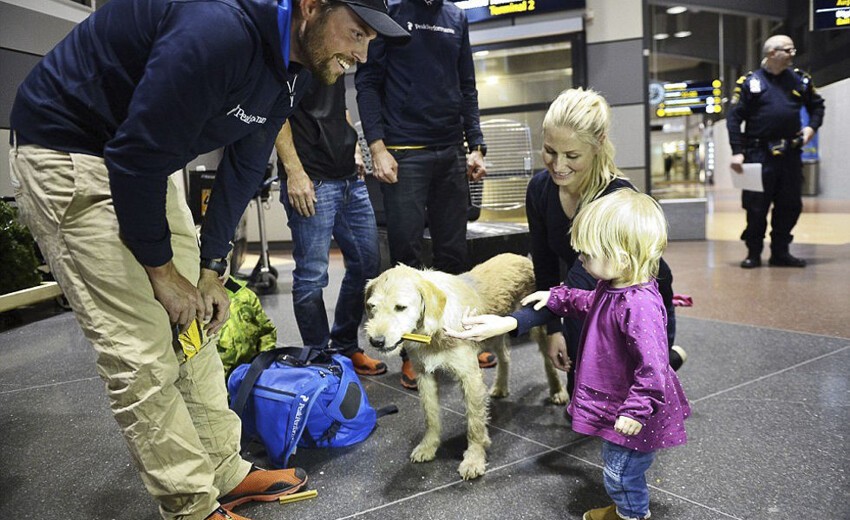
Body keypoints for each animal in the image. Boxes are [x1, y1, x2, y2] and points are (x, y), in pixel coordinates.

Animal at [362, 252, 568, 480]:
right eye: (372, 307)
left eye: (400, 307)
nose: (376, 341)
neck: (434, 329)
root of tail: (523, 258)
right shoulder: (424, 376)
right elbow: (430, 416)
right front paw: (429, 446)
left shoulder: (470, 377)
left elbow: (474, 423)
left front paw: (474, 459)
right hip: (495, 332)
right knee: (505, 356)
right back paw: (501, 386)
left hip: (536, 329)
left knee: (548, 359)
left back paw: (557, 390)